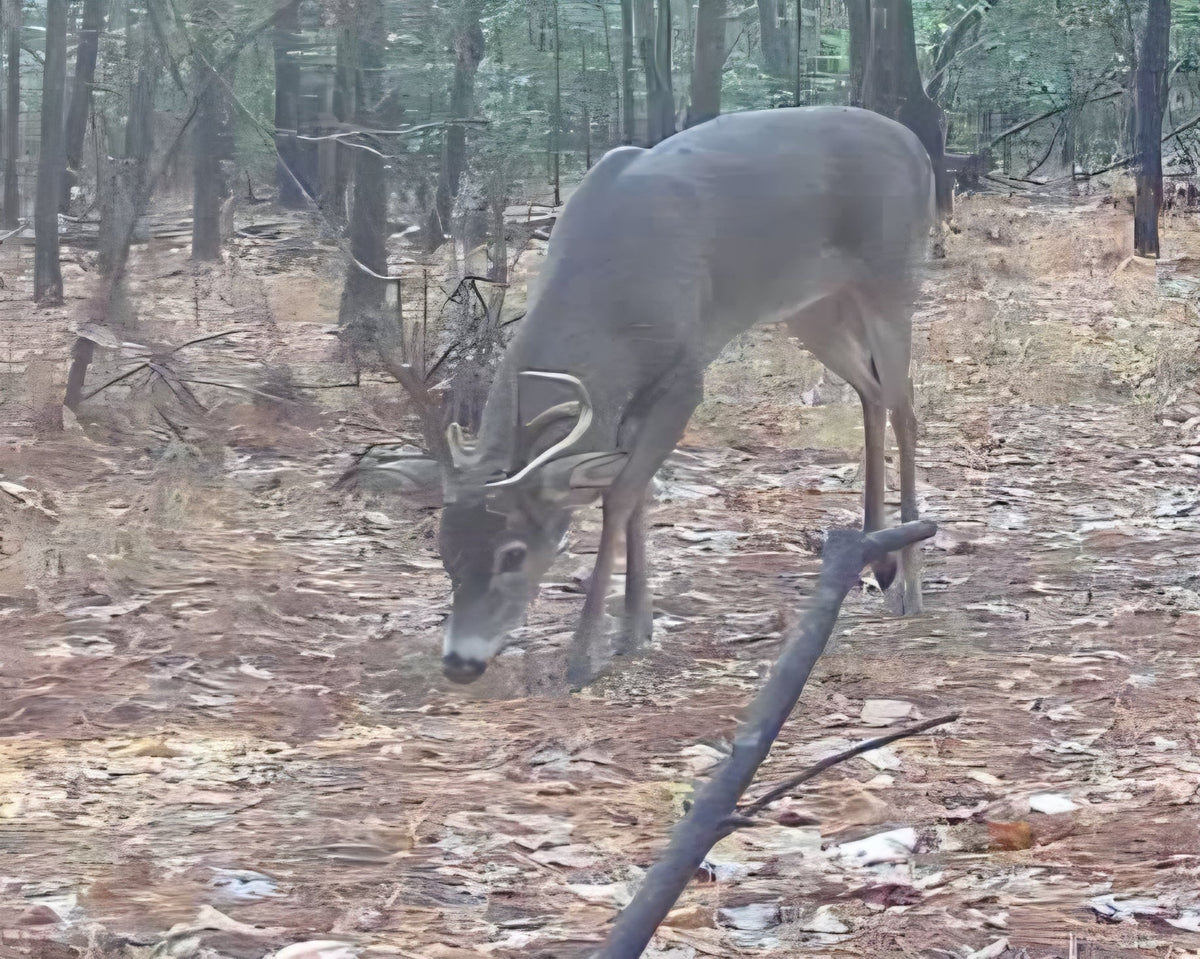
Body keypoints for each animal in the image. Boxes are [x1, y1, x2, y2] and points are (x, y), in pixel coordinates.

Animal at [346, 106, 934, 687]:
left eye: (513, 554)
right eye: (444, 551)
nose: (460, 663)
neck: (613, 305)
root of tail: (916, 146)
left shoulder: (685, 375)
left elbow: (621, 497)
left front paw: (585, 654)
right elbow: (638, 495)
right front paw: (636, 629)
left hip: (891, 276)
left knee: (906, 405)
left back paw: (909, 584)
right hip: (812, 306)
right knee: (872, 393)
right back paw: (876, 557)